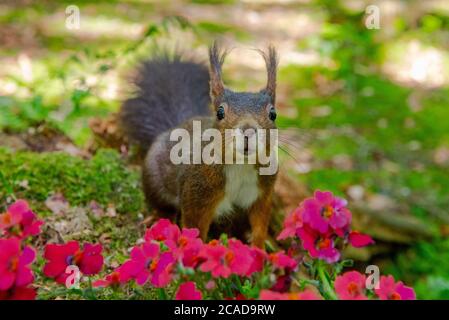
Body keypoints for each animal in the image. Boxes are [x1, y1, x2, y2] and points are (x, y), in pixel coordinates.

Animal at [121, 42, 278, 248]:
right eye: (220, 112)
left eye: (273, 114)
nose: (248, 131)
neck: (241, 165)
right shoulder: (196, 194)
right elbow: (194, 226)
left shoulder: (263, 194)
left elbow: (260, 224)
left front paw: (260, 250)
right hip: (152, 178)